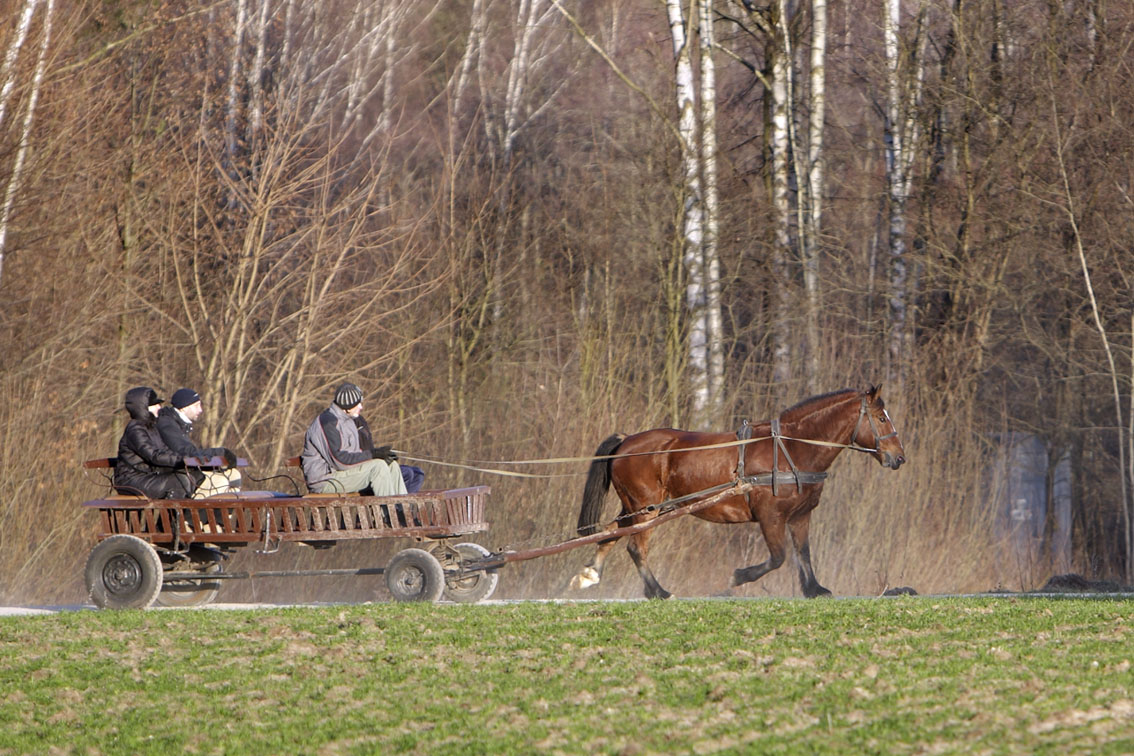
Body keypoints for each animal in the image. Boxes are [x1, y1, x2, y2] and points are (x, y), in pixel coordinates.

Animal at [571, 387, 907, 598]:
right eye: (881, 418)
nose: (899, 458)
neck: (790, 448)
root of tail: (627, 440)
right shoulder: (771, 516)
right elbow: (779, 557)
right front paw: (739, 577)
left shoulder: (800, 515)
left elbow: (803, 553)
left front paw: (814, 589)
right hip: (646, 507)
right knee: (635, 548)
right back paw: (658, 591)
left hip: (636, 506)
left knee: (611, 533)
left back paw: (591, 574)